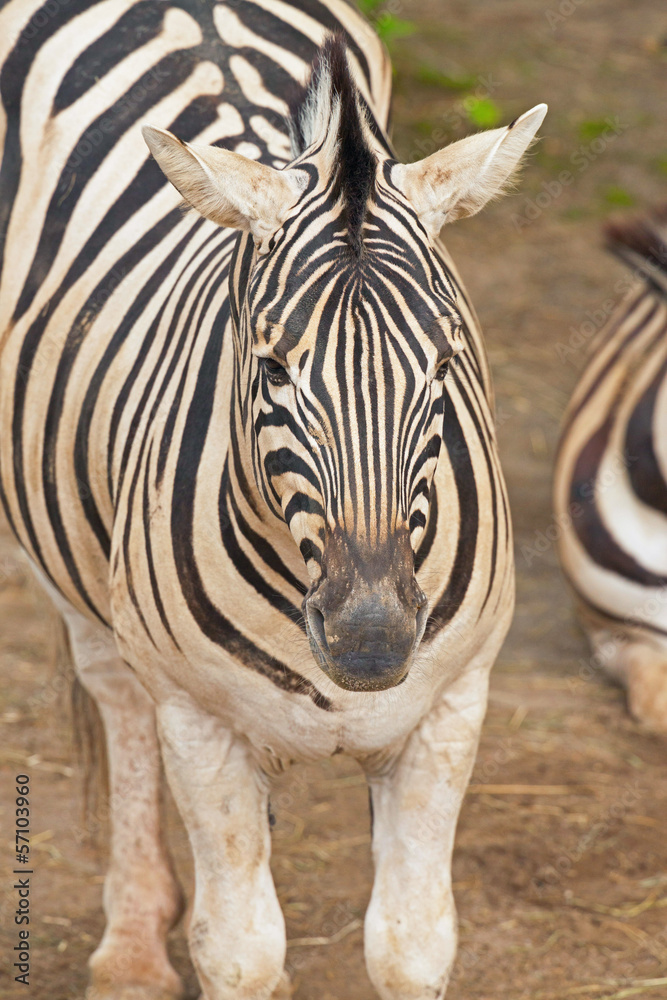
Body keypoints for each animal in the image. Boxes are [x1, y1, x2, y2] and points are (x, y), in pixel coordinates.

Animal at [0, 1, 546, 997]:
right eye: (272, 368)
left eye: (443, 364)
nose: (371, 644)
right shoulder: (199, 723)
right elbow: (239, 950)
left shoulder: (452, 710)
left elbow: (411, 944)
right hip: (70, 566)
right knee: (114, 693)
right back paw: (132, 948)